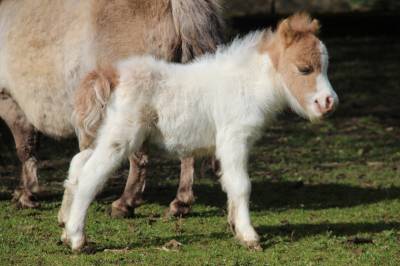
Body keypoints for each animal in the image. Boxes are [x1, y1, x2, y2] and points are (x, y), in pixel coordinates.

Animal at [61, 14, 340, 251]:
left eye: (326, 67)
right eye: (304, 68)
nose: (329, 102)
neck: (246, 84)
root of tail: (113, 73)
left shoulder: (232, 145)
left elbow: (230, 183)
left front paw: (235, 226)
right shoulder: (233, 139)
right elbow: (242, 185)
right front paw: (249, 236)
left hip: (106, 136)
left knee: (77, 165)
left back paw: (64, 226)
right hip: (120, 138)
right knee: (90, 175)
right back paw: (77, 239)